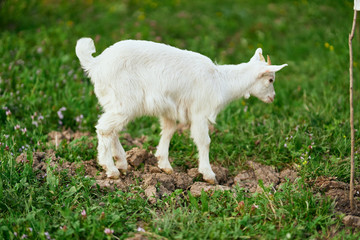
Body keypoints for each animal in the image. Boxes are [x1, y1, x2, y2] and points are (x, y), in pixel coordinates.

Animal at [75, 38, 286, 184]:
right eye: (270, 80)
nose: (273, 97)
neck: (220, 81)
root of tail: (95, 64)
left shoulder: (170, 110)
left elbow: (168, 131)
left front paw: (164, 165)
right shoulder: (200, 112)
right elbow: (204, 141)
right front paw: (209, 175)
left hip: (113, 101)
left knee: (112, 129)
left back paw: (122, 162)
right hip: (125, 101)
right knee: (105, 129)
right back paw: (111, 170)